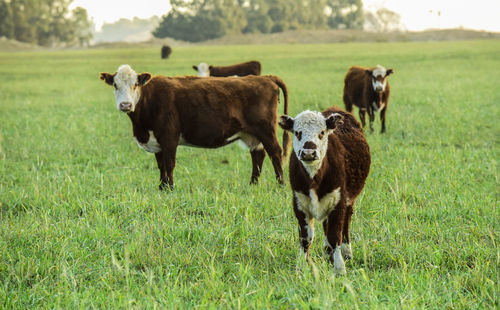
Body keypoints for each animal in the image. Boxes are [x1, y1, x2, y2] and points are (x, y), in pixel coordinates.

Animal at [100, 64, 292, 190]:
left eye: (135, 85)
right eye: (115, 85)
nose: (125, 105)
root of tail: (265, 78)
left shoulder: (169, 137)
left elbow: (169, 163)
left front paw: (170, 188)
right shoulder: (157, 141)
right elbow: (161, 165)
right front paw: (162, 187)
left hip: (266, 129)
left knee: (275, 152)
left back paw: (281, 184)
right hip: (251, 134)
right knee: (258, 155)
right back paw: (253, 184)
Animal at [280, 106, 370, 274]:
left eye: (322, 132)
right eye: (297, 132)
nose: (309, 152)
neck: (314, 179)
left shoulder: (338, 202)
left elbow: (335, 234)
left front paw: (339, 267)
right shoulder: (299, 203)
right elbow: (306, 237)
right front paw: (302, 266)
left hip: (349, 201)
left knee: (345, 224)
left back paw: (346, 252)